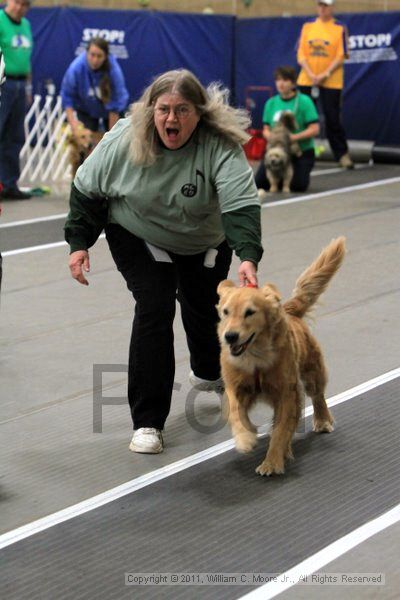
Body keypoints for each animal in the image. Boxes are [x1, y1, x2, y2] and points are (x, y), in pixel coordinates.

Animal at [217, 237, 346, 476]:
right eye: (226, 312)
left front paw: (272, 462)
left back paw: (322, 421)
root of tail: (289, 311)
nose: (229, 336)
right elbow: (237, 413)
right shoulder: (235, 387)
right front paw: (245, 439)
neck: (255, 356)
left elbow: (281, 431)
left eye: (250, 312)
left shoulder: (287, 392)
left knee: (318, 396)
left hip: (312, 372)